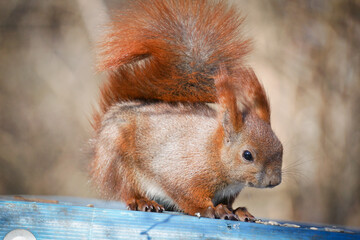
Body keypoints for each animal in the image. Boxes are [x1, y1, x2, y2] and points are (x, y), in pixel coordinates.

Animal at [89, 0, 282, 221]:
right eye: (247, 155)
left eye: (281, 148)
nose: (274, 181)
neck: (213, 152)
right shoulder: (182, 173)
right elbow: (187, 196)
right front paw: (211, 209)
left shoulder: (228, 191)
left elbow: (227, 202)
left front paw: (235, 210)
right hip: (116, 160)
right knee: (126, 189)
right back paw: (143, 201)